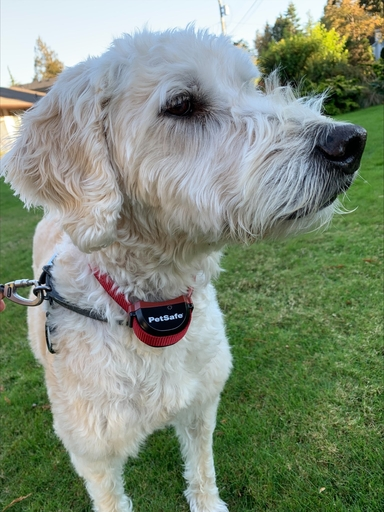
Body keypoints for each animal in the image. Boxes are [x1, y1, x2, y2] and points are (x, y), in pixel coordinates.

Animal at [2, 29, 366, 512]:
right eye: (181, 104)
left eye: (251, 86)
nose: (350, 141)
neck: (151, 311)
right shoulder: (94, 455)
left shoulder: (201, 404)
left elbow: (203, 470)